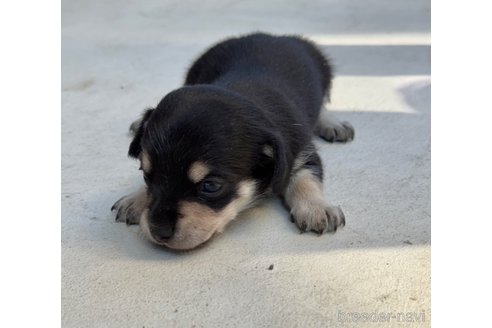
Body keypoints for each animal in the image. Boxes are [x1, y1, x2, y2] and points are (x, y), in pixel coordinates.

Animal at [111, 32, 354, 249]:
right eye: (146, 175)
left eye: (211, 186)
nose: (158, 232)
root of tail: (270, 35)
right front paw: (136, 199)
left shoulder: (302, 151)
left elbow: (306, 178)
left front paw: (316, 209)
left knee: (323, 106)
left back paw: (333, 124)